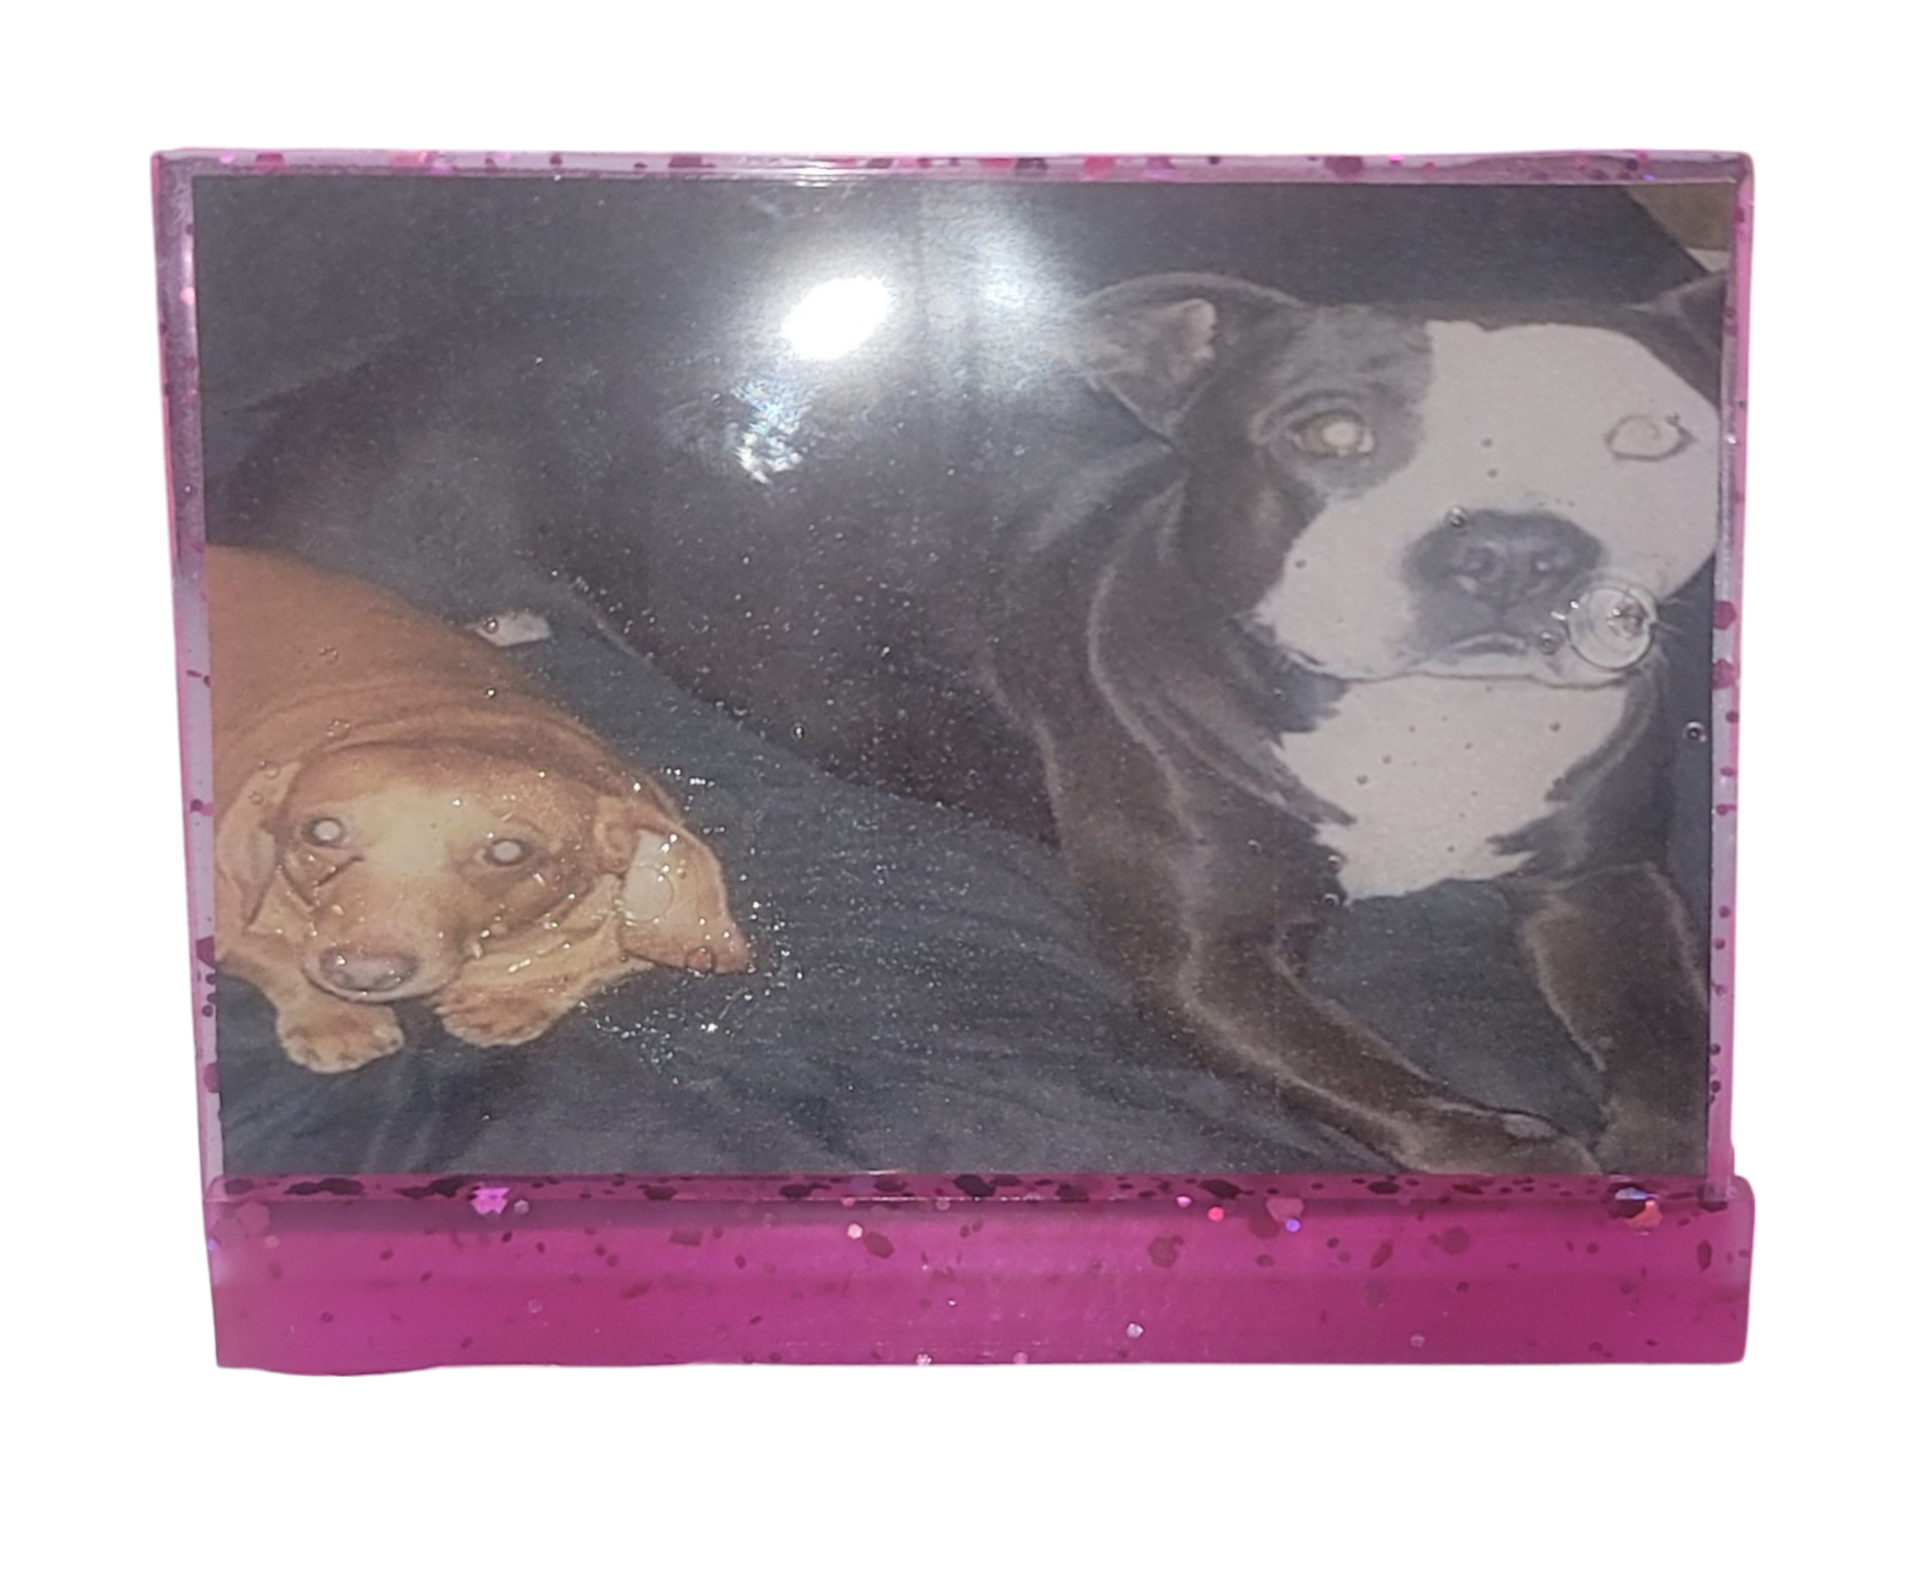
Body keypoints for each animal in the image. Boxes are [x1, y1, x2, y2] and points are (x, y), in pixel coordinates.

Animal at [207, 546, 750, 1073]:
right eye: (321, 832)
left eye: (508, 852)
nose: (364, 973)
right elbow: (271, 950)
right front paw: (334, 1016)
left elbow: (614, 952)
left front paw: (515, 997)